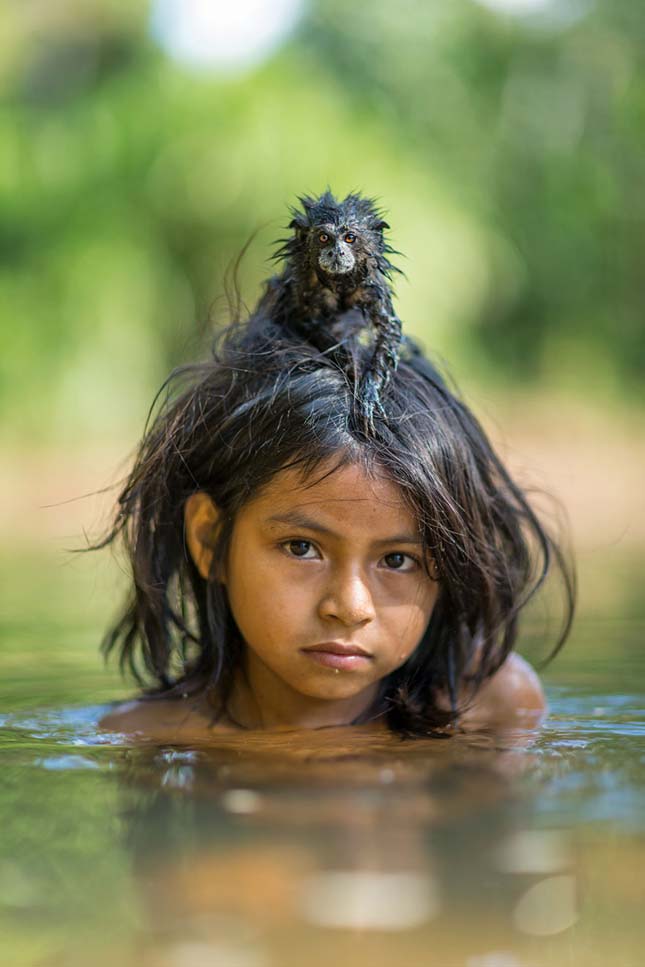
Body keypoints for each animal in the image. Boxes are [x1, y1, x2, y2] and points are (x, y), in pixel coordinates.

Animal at [250, 189, 402, 432]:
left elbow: (389, 330)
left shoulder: (370, 286)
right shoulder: (303, 284)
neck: (339, 281)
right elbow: (303, 321)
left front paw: (368, 394)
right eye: (324, 238)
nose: (337, 253)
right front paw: (347, 361)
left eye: (350, 238)